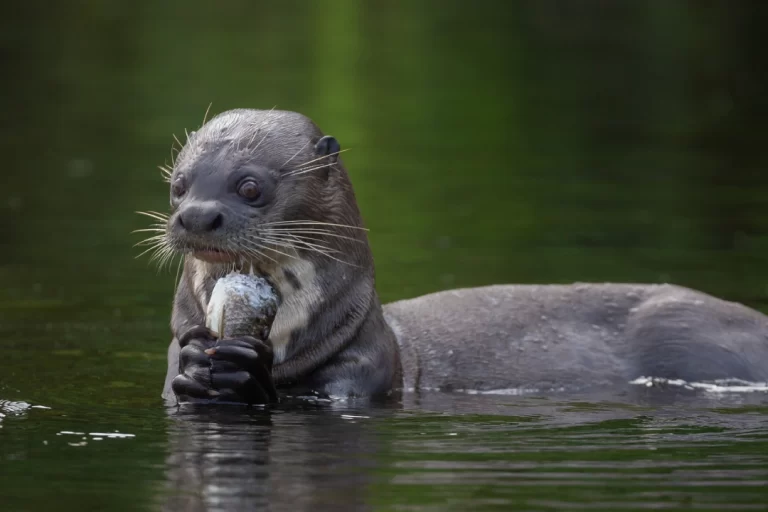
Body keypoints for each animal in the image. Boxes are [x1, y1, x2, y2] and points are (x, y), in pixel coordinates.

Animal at [145, 109, 768, 405]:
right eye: (178, 185)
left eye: (250, 186)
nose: (197, 216)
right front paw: (204, 366)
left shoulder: (365, 370)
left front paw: (242, 371)